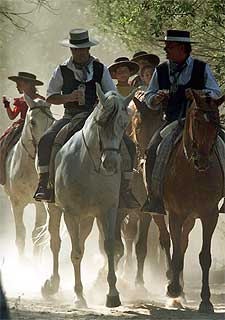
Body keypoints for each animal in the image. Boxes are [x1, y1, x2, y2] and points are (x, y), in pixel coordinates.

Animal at [3, 94, 54, 255]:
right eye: (32, 122)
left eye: (52, 122)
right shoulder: (16, 203)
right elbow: (20, 236)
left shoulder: (40, 202)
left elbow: (37, 235)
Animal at [41, 84, 134, 308]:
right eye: (100, 122)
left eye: (124, 124)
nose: (111, 163)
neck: (91, 166)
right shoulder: (71, 213)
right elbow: (75, 253)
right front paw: (79, 296)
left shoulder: (108, 211)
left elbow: (110, 247)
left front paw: (112, 294)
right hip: (55, 209)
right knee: (56, 243)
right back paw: (52, 284)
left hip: (88, 219)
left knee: (81, 242)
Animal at [163, 90, 225, 312]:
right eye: (196, 121)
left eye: (216, 125)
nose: (202, 161)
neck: (193, 174)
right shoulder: (175, 214)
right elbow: (176, 253)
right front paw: (173, 289)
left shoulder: (210, 215)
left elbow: (204, 257)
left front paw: (206, 301)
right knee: (167, 241)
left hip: (191, 218)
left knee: (183, 242)